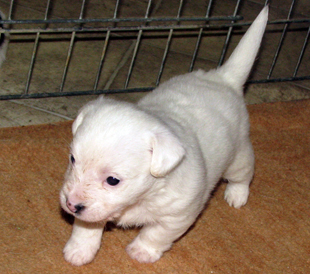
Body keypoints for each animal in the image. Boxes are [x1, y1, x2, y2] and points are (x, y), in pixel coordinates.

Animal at [59, 7, 268, 266]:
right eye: (72, 160)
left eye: (113, 180)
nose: (70, 204)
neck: (144, 196)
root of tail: (223, 78)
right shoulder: (94, 210)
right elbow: (86, 226)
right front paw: (79, 250)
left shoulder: (177, 216)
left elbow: (155, 233)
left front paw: (141, 251)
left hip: (238, 156)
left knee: (244, 174)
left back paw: (236, 194)